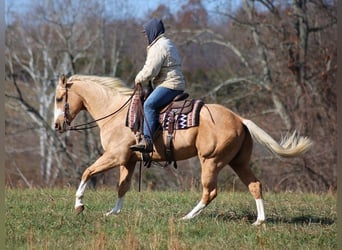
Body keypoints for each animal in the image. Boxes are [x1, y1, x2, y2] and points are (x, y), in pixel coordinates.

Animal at [54, 73, 312, 225]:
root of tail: (240, 119)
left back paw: (187, 217)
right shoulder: (128, 160)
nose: (56, 125)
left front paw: (78, 205)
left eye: (58, 98)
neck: (117, 114)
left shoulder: (114, 156)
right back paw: (259, 221)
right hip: (238, 162)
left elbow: (87, 172)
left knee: (210, 192)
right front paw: (113, 212)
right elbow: (122, 187)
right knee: (255, 185)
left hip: (211, 161)